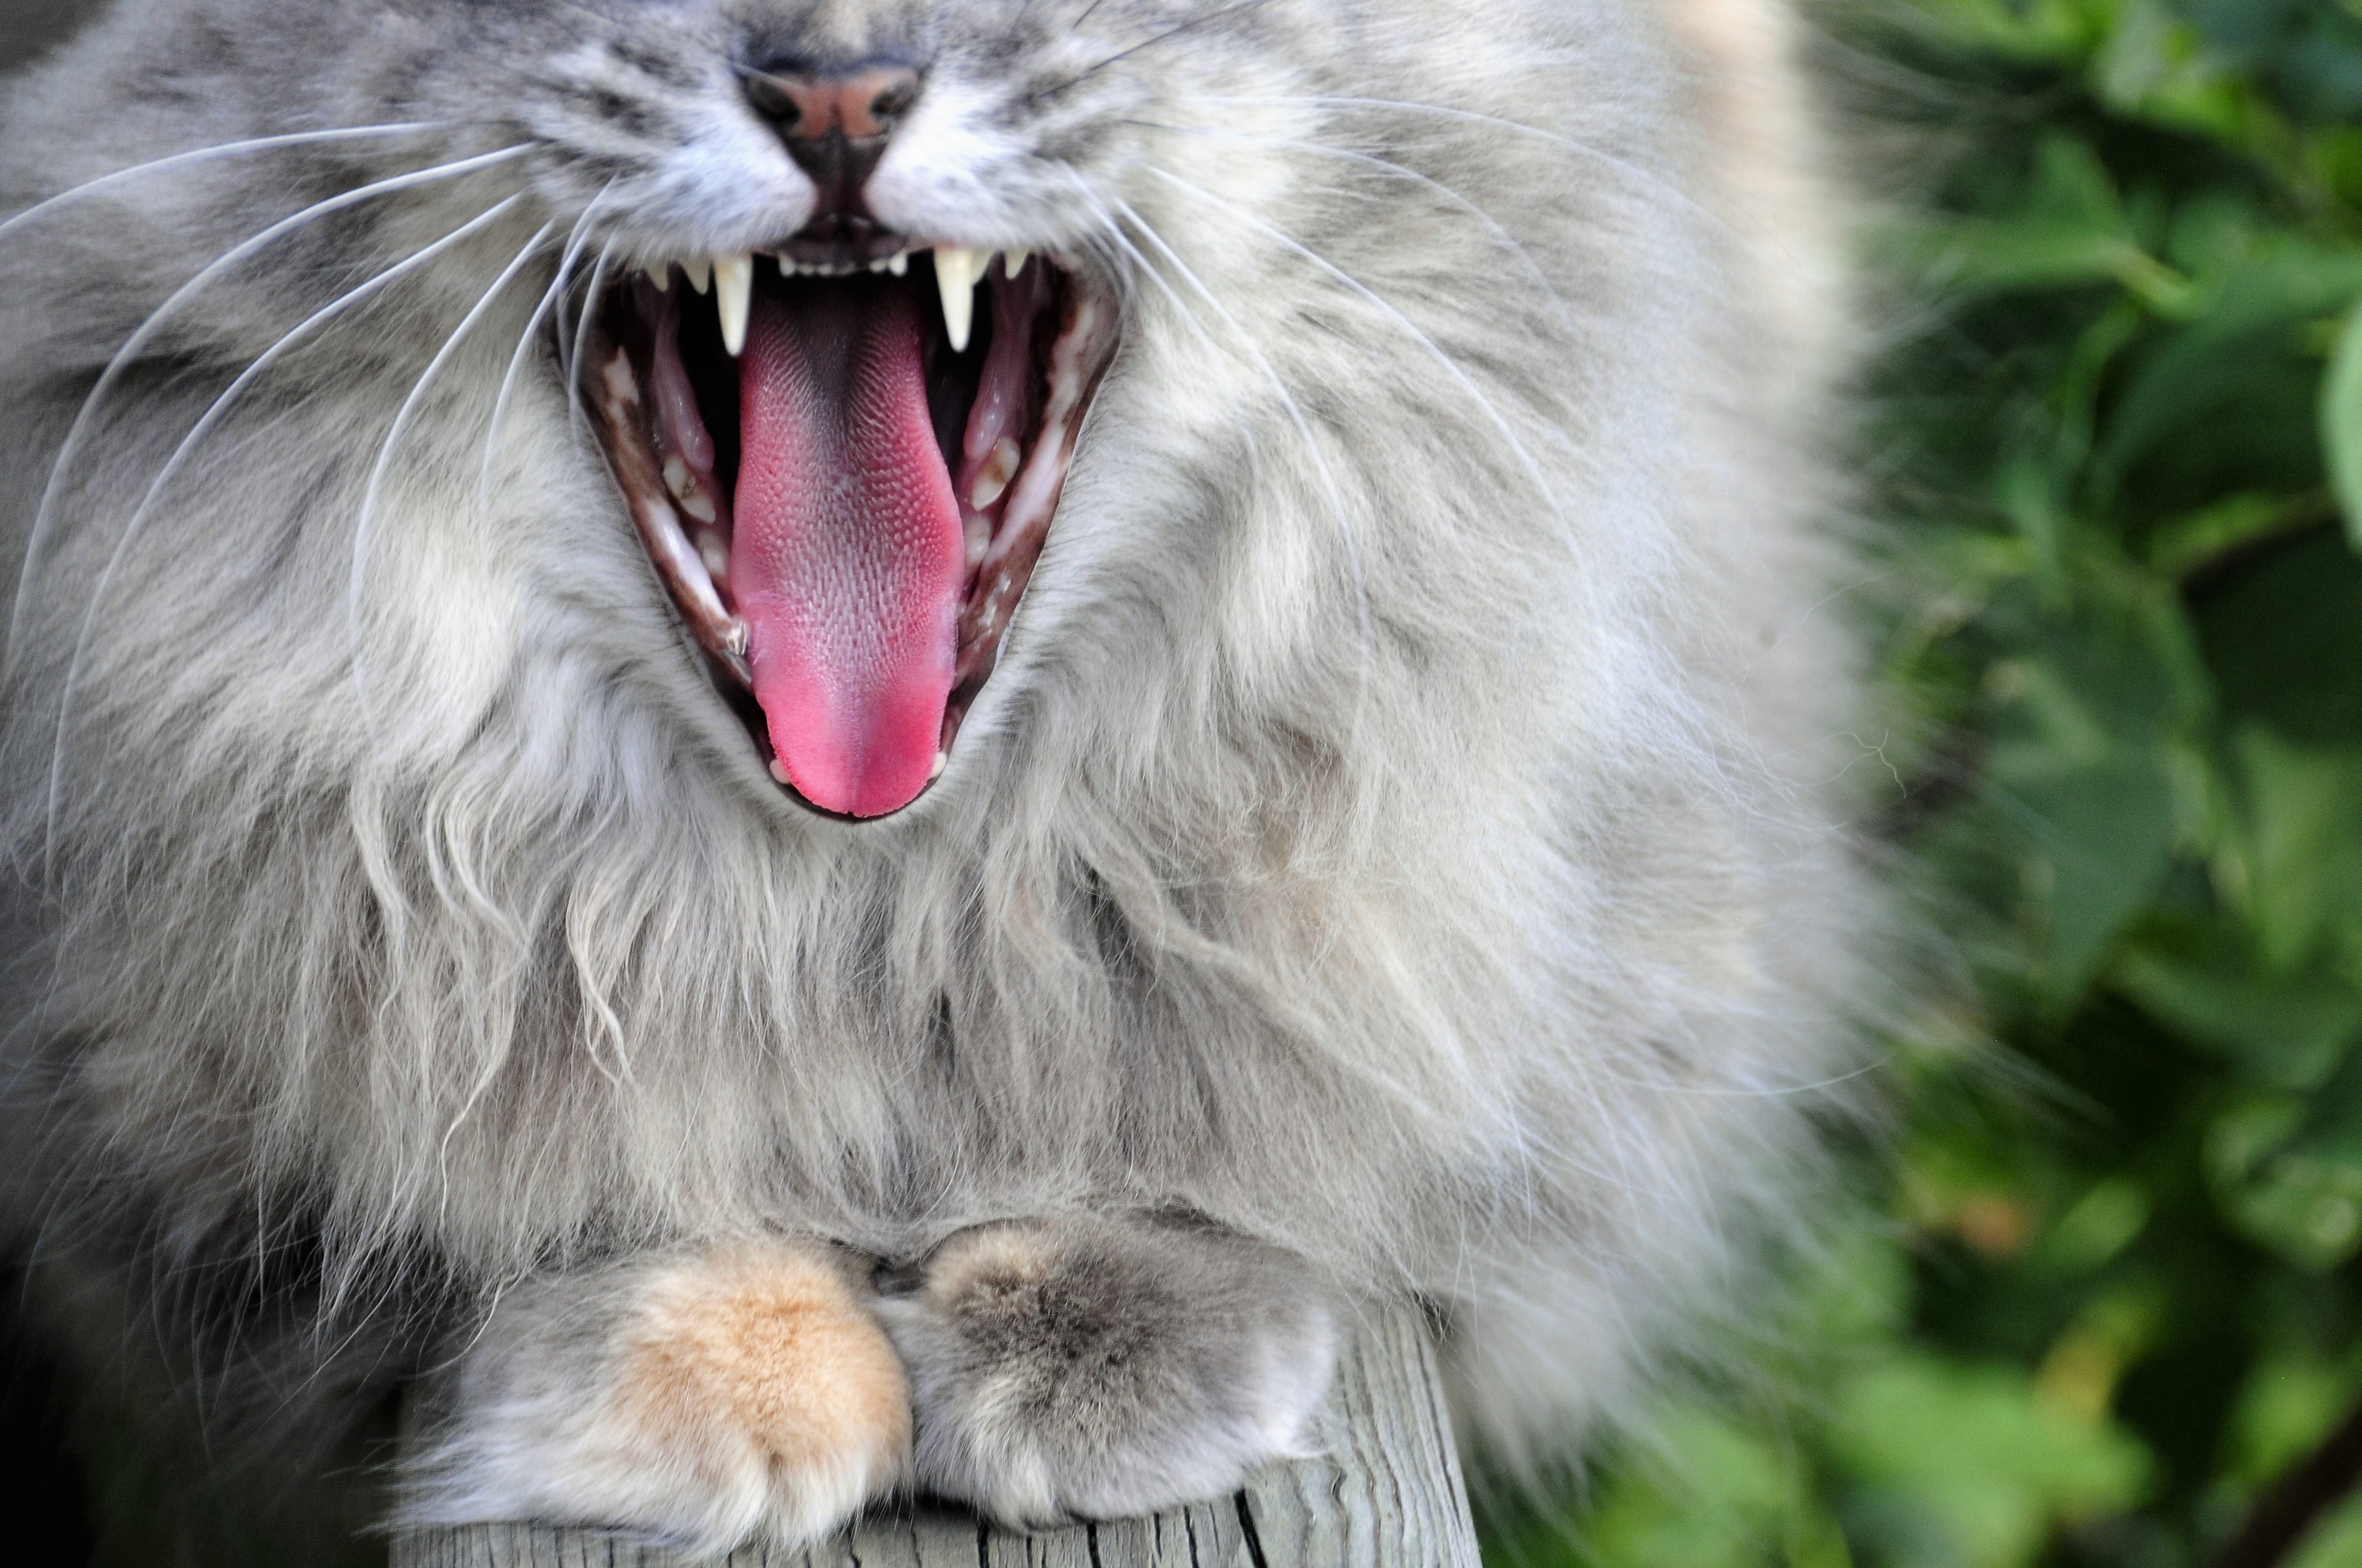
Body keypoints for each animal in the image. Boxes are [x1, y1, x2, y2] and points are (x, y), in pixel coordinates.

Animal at [5, 0, 1880, 1558]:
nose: (835, 93)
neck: (870, 904)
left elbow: (1228, 1139)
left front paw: (1081, 1334)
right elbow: (544, 1165)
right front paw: (719, 1367)